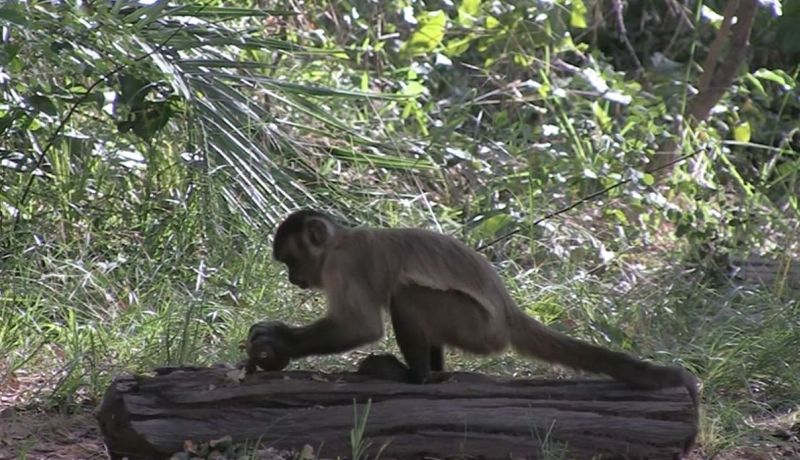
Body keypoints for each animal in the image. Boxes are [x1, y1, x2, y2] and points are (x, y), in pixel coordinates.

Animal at [257, 209, 699, 403]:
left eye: (292, 261)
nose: (293, 279)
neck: (338, 244)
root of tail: (506, 310)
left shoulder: (345, 265)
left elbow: (361, 327)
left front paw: (280, 342)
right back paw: (433, 372)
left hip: (477, 327)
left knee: (408, 294)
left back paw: (418, 377)